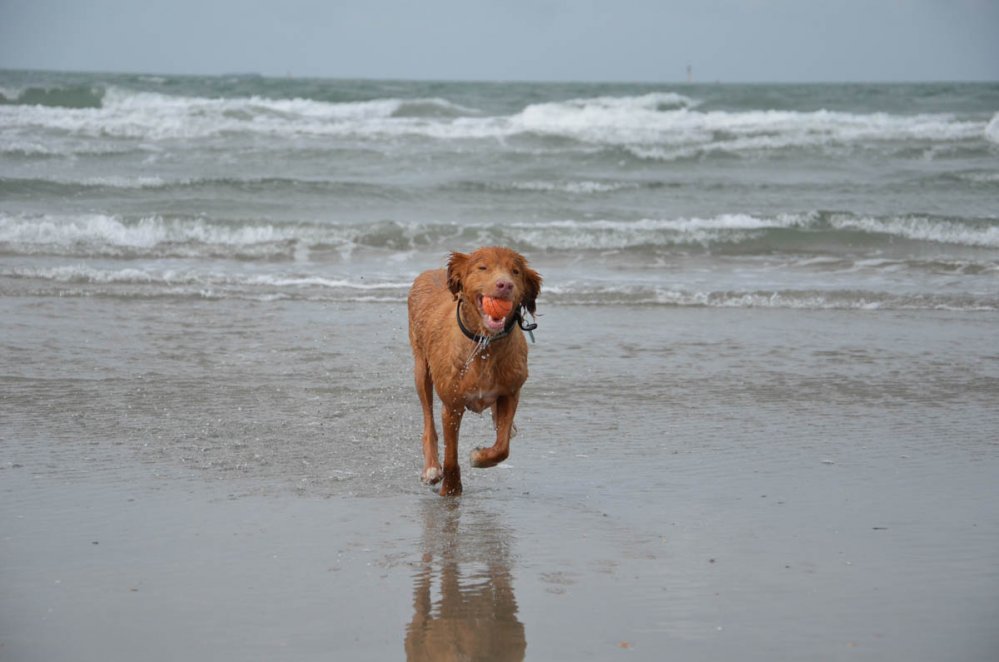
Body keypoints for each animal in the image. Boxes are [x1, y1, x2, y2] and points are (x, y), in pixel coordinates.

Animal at [408, 247, 541, 496]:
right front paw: (451, 489)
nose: (505, 285)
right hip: (421, 369)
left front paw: (480, 457)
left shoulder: (511, 393)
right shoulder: (452, 406)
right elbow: (451, 456)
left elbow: (502, 447)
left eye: (515, 271)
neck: (484, 345)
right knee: (428, 421)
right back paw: (431, 468)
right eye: (482, 268)